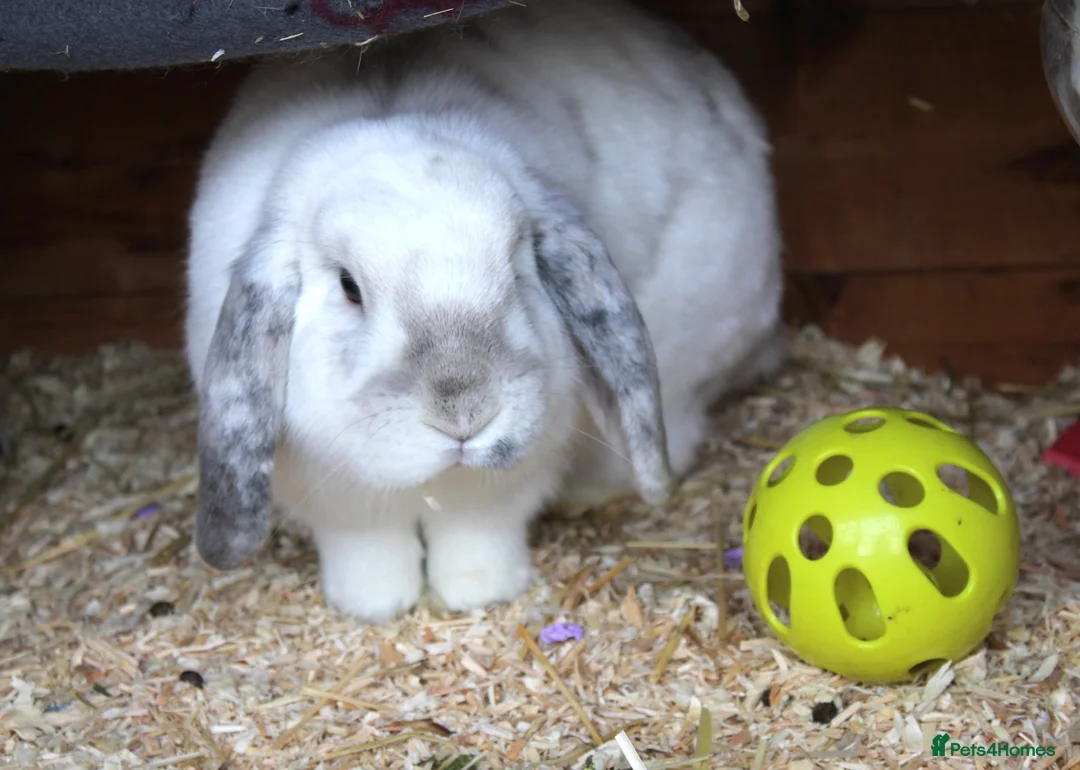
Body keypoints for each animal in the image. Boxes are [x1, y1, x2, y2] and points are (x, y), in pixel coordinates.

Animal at [183, 0, 786, 622]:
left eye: (519, 269)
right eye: (350, 287)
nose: (464, 417)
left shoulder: (508, 485)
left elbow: (478, 534)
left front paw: (480, 591)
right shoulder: (339, 503)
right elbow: (366, 547)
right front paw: (373, 604)